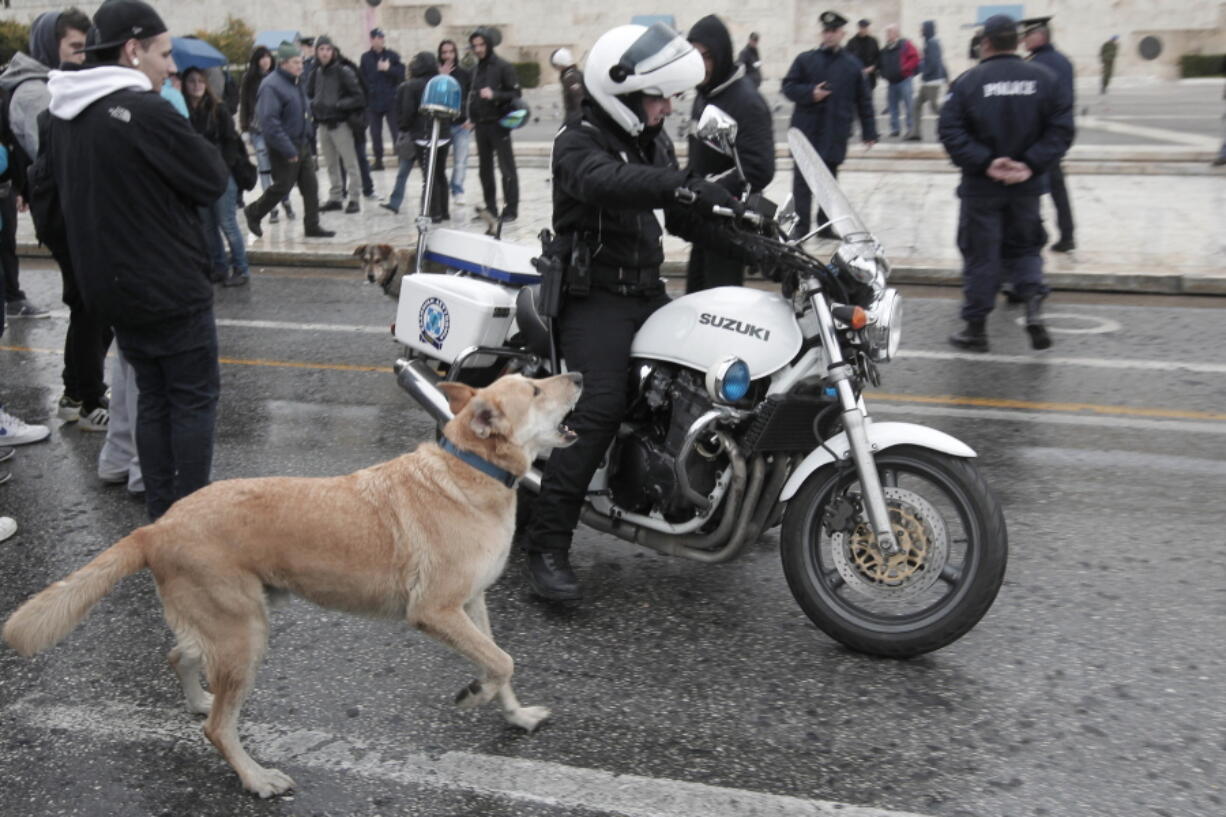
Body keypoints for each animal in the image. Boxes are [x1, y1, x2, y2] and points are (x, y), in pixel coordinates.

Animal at [2, 368, 581, 794]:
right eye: (535, 389)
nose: (576, 374)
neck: (472, 466)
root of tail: (156, 525)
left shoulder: (473, 603)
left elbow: (499, 661)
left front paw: (514, 714)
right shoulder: (435, 611)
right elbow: (502, 661)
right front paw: (475, 694)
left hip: (234, 621)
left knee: (180, 658)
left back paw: (200, 699)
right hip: (246, 632)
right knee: (218, 727)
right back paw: (255, 777)